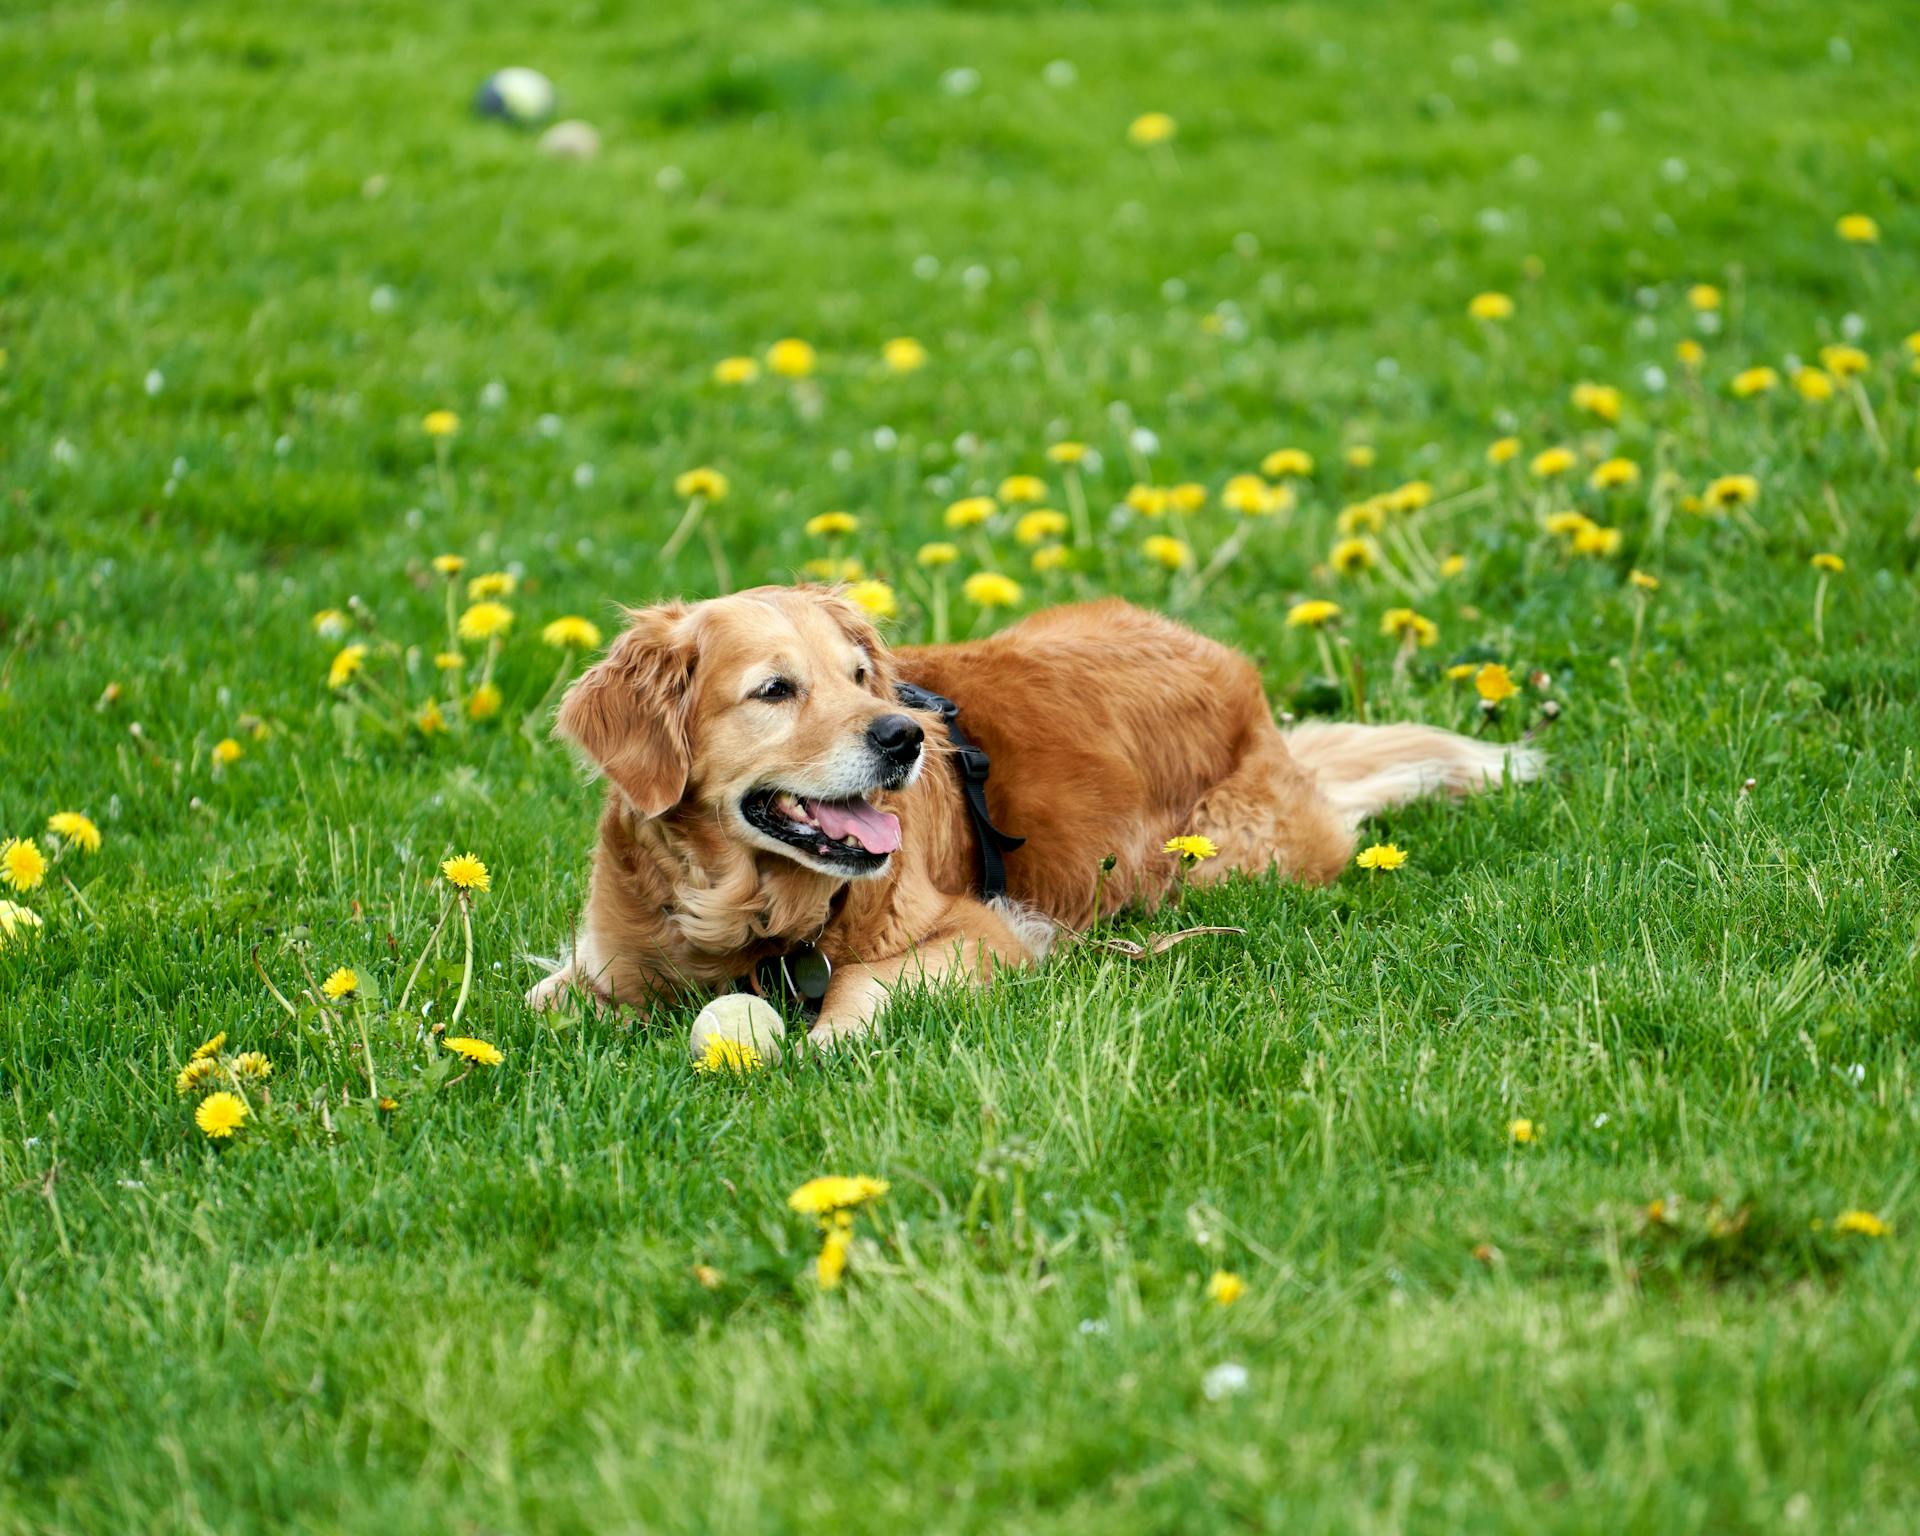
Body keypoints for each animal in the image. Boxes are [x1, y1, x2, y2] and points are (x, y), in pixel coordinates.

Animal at [529, 583, 1543, 1044]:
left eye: (859, 677)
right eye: (775, 690)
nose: (904, 737)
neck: (746, 916)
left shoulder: (986, 933)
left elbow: (860, 984)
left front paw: (823, 1043)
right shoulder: (608, 957)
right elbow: (537, 1003)